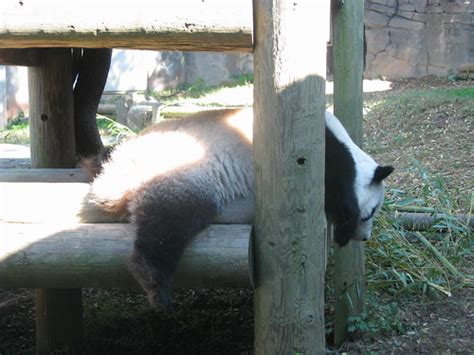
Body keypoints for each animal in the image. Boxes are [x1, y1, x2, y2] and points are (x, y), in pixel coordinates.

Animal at [81, 108, 392, 308]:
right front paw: (343, 230)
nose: (365, 237)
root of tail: (119, 177)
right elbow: (336, 195)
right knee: (170, 220)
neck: (348, 150)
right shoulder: (322, 160)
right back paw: (155, 283)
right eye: (369, 214)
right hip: (182, 174)